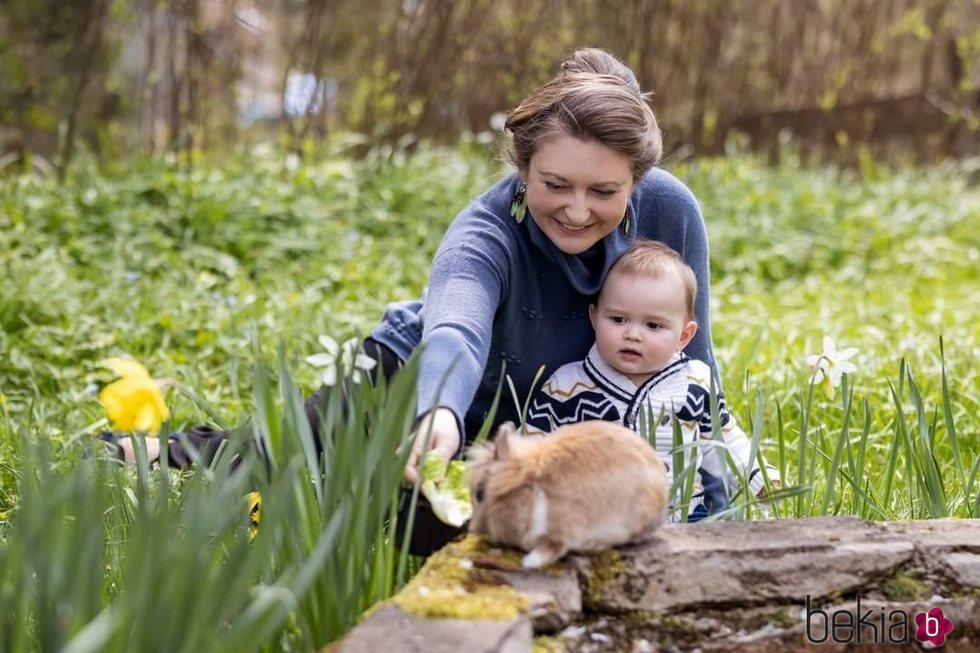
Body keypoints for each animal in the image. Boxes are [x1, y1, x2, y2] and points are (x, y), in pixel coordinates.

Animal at [466, 420, 668, 568]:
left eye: (480, 494)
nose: (473, 529)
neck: (530, 493)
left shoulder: (563, 531)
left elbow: (553, 548)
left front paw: (530, 562)